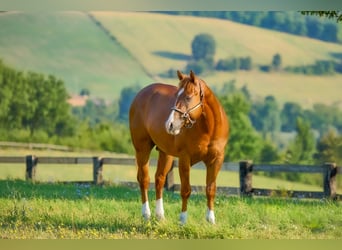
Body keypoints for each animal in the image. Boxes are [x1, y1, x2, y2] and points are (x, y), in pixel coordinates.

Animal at [130, 70, 228, 225]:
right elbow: (185, 190)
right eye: (176, 95)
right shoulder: (184, 159)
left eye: (188, 97)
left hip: (165, 153)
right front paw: (183, 220)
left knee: (159, 179)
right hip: (142, 149)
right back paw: (146, 214)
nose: (170, 124)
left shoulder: (216, 160)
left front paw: (211, 220)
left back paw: (160, 216)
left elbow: (210, 189)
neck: (209, 129)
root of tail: (140, 94)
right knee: (144, 179)